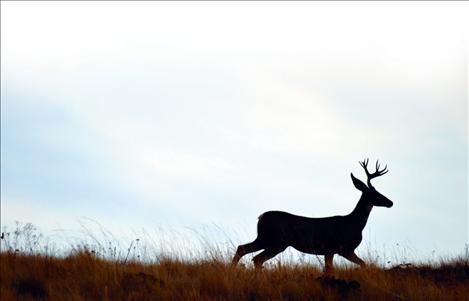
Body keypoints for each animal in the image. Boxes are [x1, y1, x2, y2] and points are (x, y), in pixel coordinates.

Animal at [231, 159, 392, 274]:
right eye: (375, 193)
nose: (390, 202)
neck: (353, 224)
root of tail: (261, 217)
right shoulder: (332, 247)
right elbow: (330, 269)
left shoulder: (345, 251)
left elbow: (364, 264)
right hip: (274, 240)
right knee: (252, 255)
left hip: (270, 240)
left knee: (248, 253)